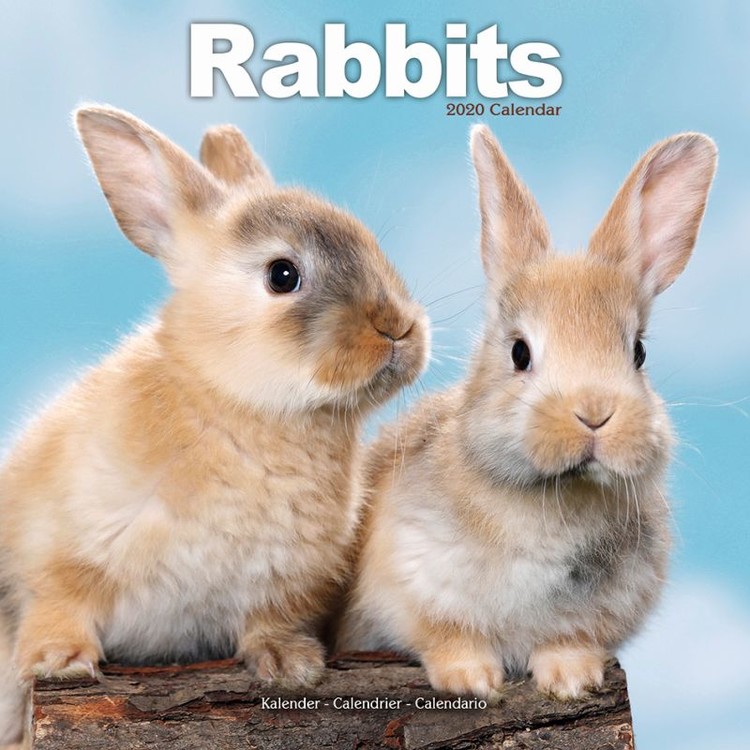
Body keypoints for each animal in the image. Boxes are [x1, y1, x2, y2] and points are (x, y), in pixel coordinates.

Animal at [0, 105, 429, 745]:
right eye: (282, 275)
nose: (397, 328)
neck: (237, 403)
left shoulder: (279, 588)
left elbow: (267, 625)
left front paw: (292, 666)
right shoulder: (59, 558)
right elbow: (58, 607)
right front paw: (60, 662)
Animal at [336, 125, 717, 702]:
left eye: (638, 352)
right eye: (519, 352)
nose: (594, 414)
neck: (552, 494)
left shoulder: (596, 613)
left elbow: (568, 641)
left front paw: (572, 681)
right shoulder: (413, 582)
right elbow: (448, 637)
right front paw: (471, 682)